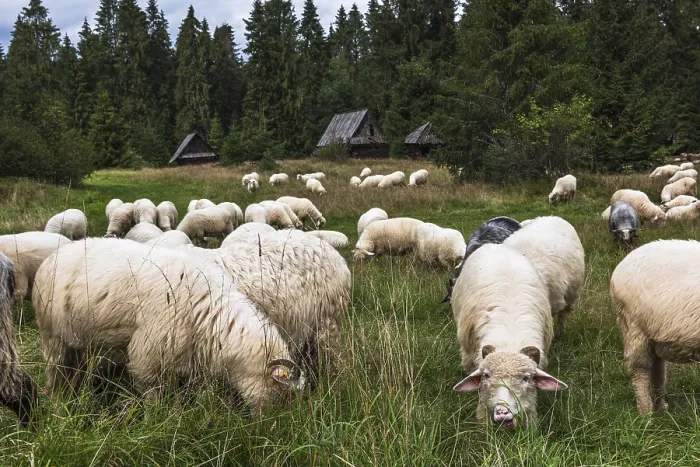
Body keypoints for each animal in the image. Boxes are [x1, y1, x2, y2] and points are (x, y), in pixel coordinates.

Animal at [33, 239, 304, 413]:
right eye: (283, 394)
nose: (274, 428)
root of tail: (50, 259)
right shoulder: (147, 357)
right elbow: (153, 395)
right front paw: (155, 419)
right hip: (51, 335)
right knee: (55, 370)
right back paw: (56, 401)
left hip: (75, 341)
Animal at [610, 239, 700, 414]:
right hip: (635, 329)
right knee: (640, 371)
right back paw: (646, 413)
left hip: (655, 336)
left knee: (658, 370)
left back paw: (661, 407)